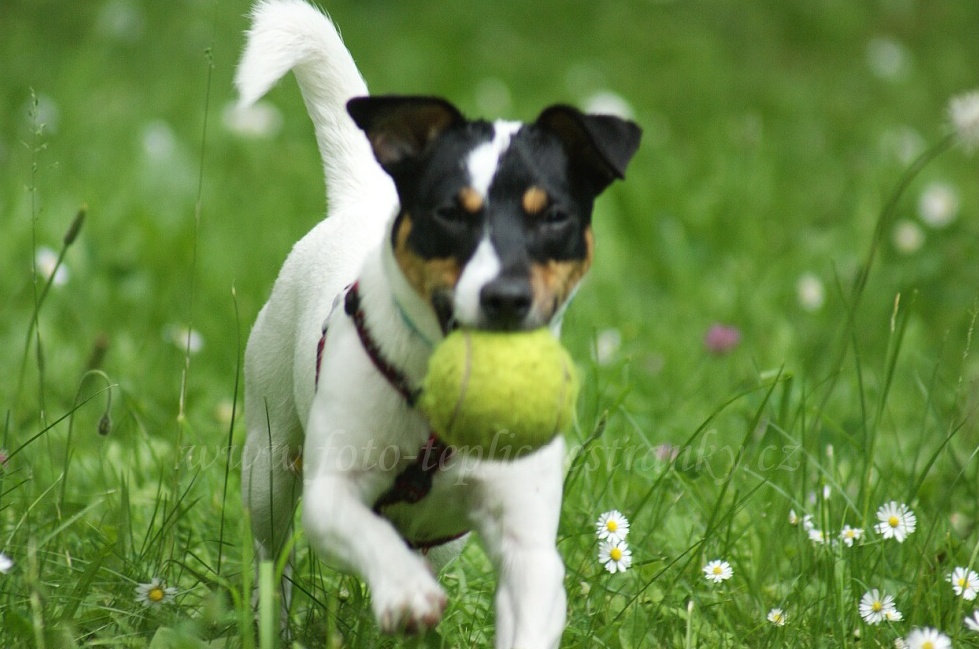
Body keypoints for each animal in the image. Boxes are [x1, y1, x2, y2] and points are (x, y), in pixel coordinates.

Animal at [237, 2, 644, 644]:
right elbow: (366, 534)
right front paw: (403, 592)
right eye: (451, 213)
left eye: (554, 216)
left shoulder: (528, 546)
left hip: (446, 539)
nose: (506, 297)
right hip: (269, 463)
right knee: (271, 555)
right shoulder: (331, 495)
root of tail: (360, 200)